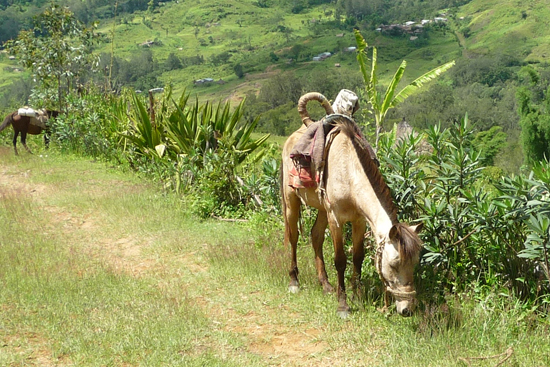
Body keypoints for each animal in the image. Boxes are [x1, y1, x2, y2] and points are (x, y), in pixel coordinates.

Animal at [282, 92, 424, 320]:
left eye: (414, 263)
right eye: (394, 264)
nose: (407, 309)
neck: (350, 174)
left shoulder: (359, 221)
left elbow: (358, 257)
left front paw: (357, 296)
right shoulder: (336, 219)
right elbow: (341, 260)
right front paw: (343, 305)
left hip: (322, 208)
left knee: (315, 236)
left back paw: (326, 285)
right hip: (291, 201)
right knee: (294, 236)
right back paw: (294, 281)